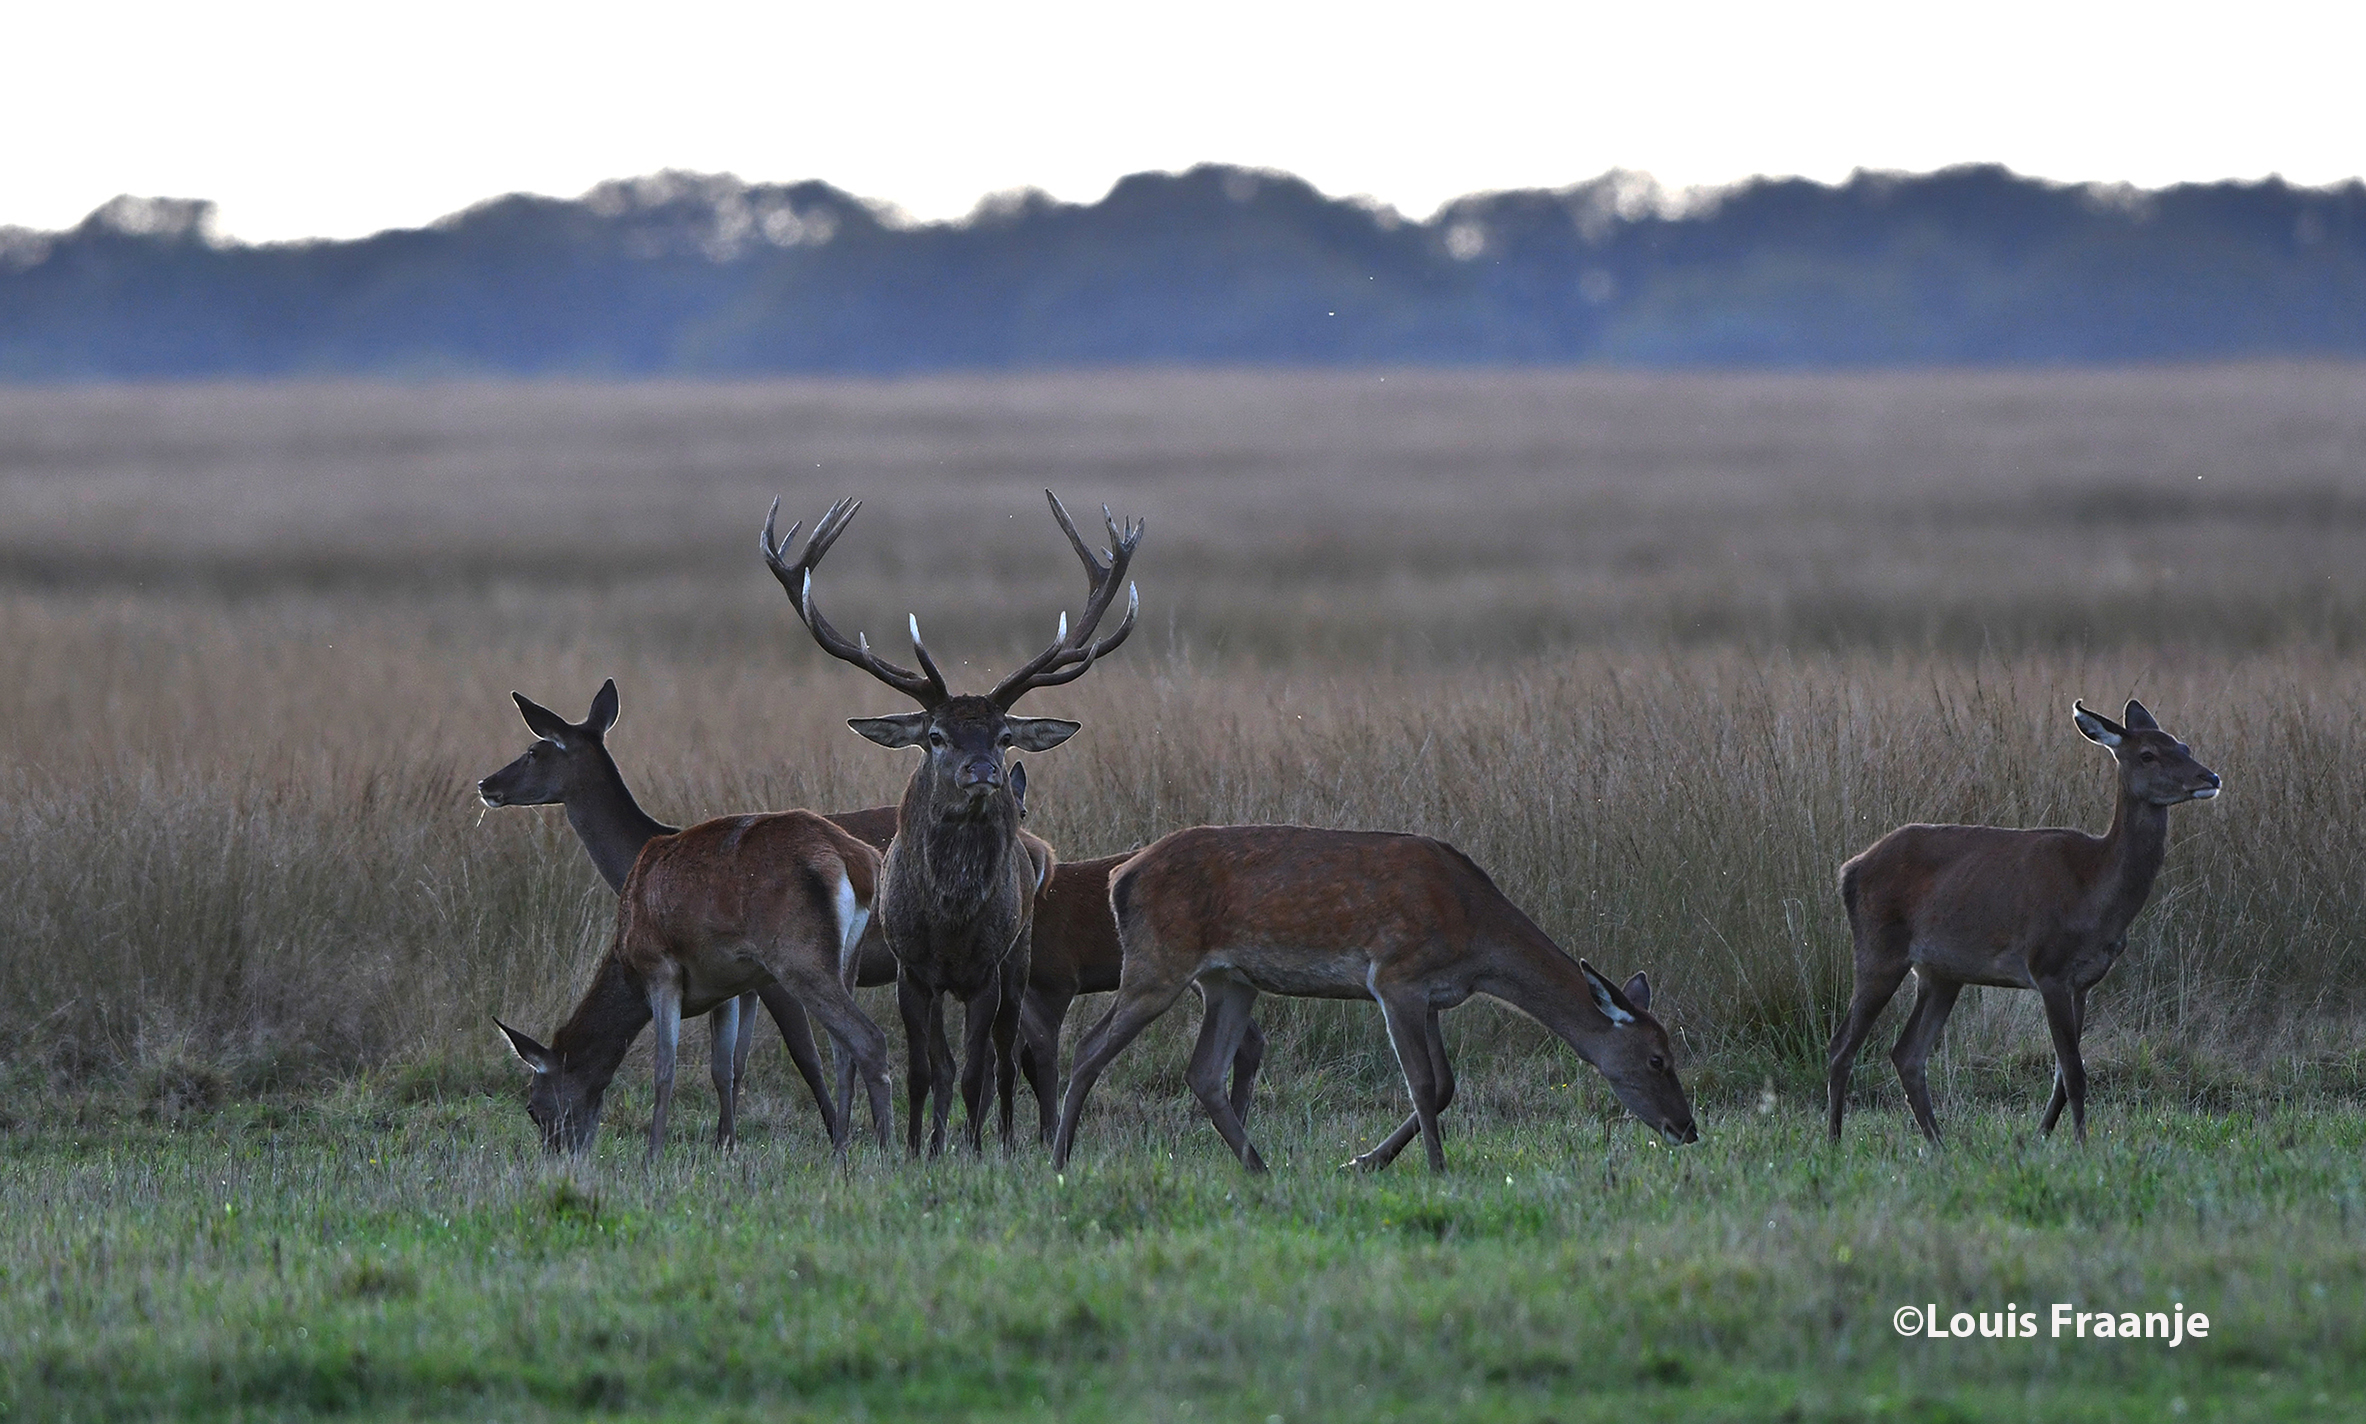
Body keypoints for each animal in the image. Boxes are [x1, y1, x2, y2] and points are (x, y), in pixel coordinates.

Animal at [492, 804, 894, 1159]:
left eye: (532, 1107)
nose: (558, 1155)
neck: (626, 962)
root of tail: (861, 859)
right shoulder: (728, 987)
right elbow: (725, 1067)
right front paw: (725, 1148)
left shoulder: (661, 969)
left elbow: (664, 1069)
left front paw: (652, 1156)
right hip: (846, 960)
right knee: (844, 1052)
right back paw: (840, 1151)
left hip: (799, 958)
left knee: (869, 1039)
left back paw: (886, 1152)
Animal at [771, 487, 1140, 1154]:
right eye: (936, 735)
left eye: (1003, 734)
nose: (984, 771)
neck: (949, 923)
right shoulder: (912, 969)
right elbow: (924, 1070)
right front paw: (918, 1148)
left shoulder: (988, 969)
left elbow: (977, 1069)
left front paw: (973, 1148)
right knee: (949, 1063)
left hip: (1023, 957)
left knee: (1005, 1058)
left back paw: (1003, 1139)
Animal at [1055, 818, 1703, 1173]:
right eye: (1657, 1059)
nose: (1687, 1128)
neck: (1476, 938)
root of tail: (1120, 876)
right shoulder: (1396, 977)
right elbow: (1421, 1082)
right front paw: (1438, 1169)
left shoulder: (1435, 996)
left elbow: (1444, 1086)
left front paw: (1364, 1162)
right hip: (1157, 965)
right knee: (1087, 1047)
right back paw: (1058, 1159)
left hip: (1229, 981)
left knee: (1204, 1072)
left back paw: (1260, 1168)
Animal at [1826, 695, 2214, 1140]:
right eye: (2148, 754)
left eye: (2184, 746)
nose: (2210, 777)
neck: (2093, 893)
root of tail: (1850, 869)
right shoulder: (2048, 967)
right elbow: (2074, 1072)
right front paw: (2080, 1143)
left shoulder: (2084, 981)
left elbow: (2063, 1076)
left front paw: (2040, 1138)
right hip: (1879, 949)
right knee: (1841, 1046)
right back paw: (1836, 1140)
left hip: (1941, 973)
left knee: (1906, 1053)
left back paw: (1938, 1143)